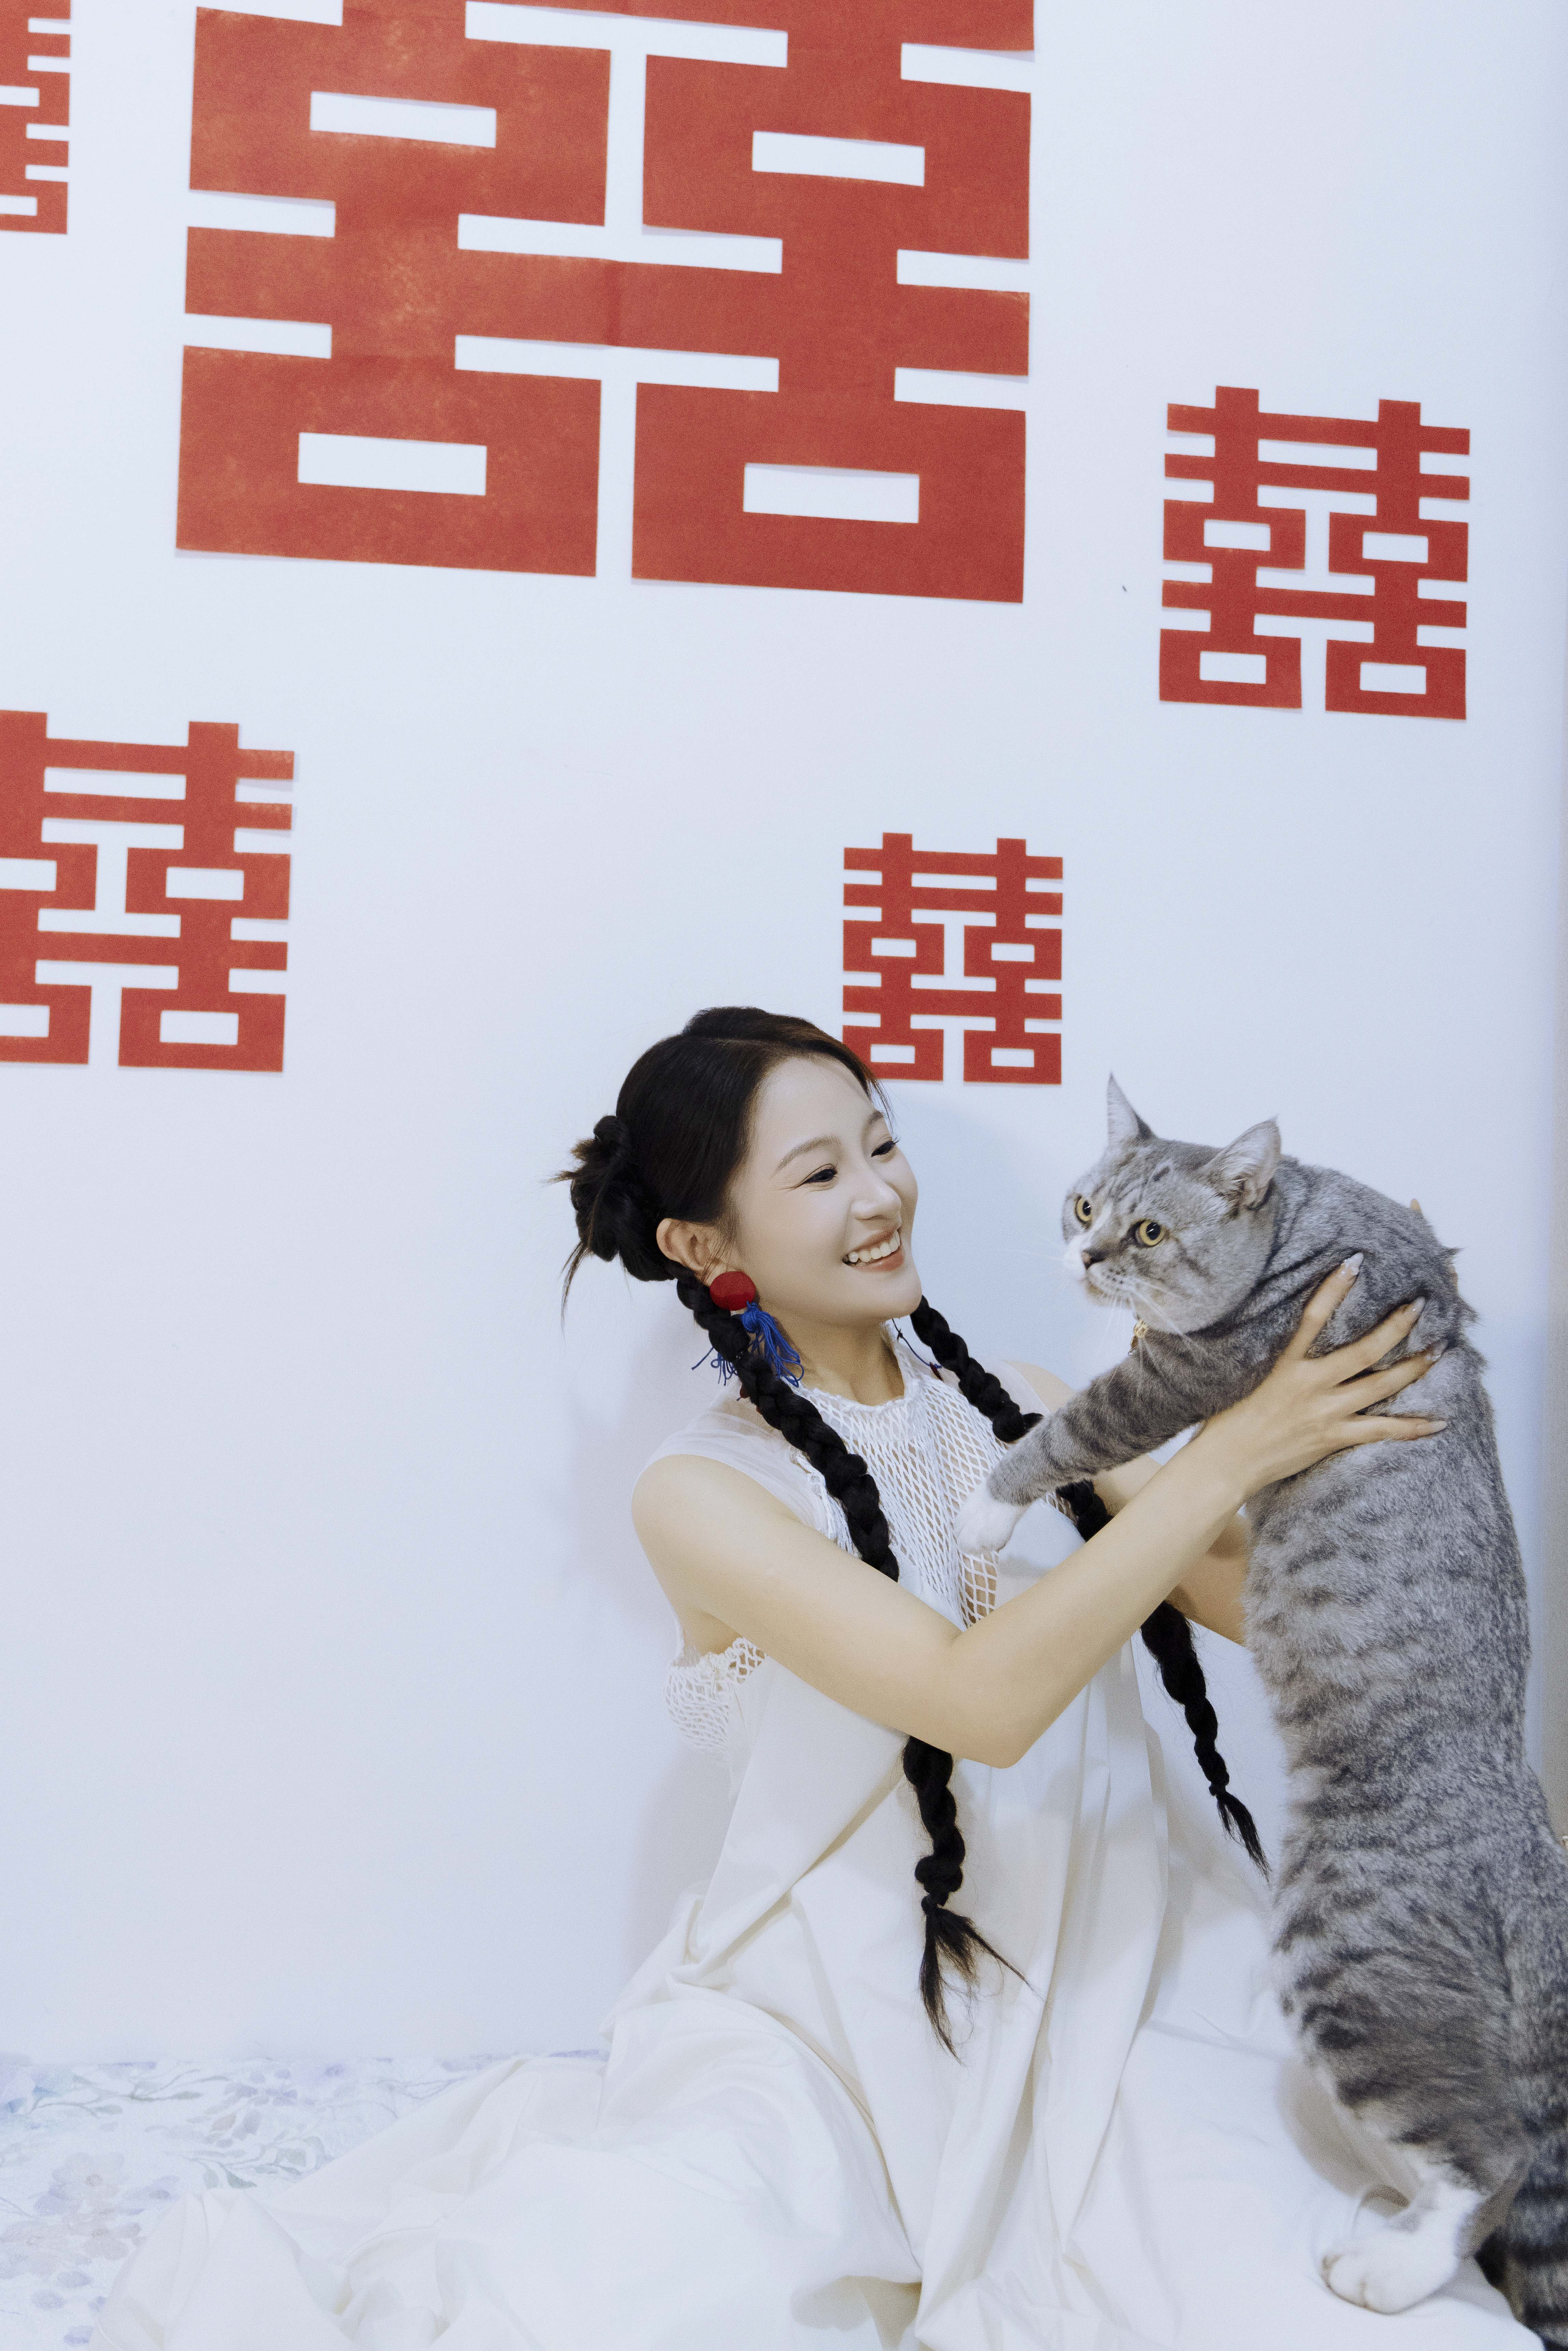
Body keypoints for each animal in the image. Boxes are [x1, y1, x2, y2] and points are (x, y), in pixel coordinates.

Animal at [955, 1076, 1568, 2339]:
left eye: (1148, 1230)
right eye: (1085, 1202)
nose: (1086, 1251)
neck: (1312, 1217)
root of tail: (1529, 1853)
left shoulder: (1198, 1372)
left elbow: (1069, 1426)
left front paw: (990, 1505)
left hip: (1342, 1953)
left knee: (1485, 2160)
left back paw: (1387, 2268)